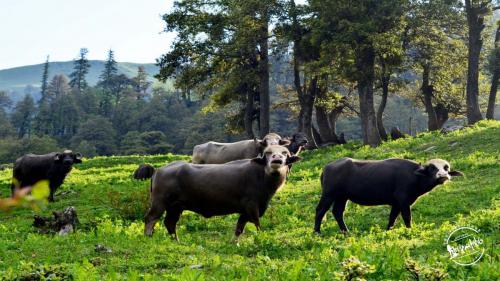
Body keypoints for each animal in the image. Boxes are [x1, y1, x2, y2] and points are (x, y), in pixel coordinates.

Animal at [137, 144, 300, 238]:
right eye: (268, 153)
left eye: (284, 153)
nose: (277, 158)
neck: (261, 175)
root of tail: (157, 170)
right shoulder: (252, 207)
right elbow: (257, 225)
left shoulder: (245, 211)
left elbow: (239, 229)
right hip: (159, 203)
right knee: (150, 219)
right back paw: (148, 236)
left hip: (176, 207)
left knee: (170, 223)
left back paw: (175, 240)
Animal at [314, 158, 462, 232]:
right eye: (432, 168)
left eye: (446, 168)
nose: (443, 176)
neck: (415, 176)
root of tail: (326, 168)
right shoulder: (404, 201)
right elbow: (407, 217)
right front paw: (410, 230)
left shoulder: (396, 204)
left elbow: (392, 218)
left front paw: (388, 230)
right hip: (328, 194)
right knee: (320, 211)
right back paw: (317, 232)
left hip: (342, 197)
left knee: (338, 212)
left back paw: (346, 232)